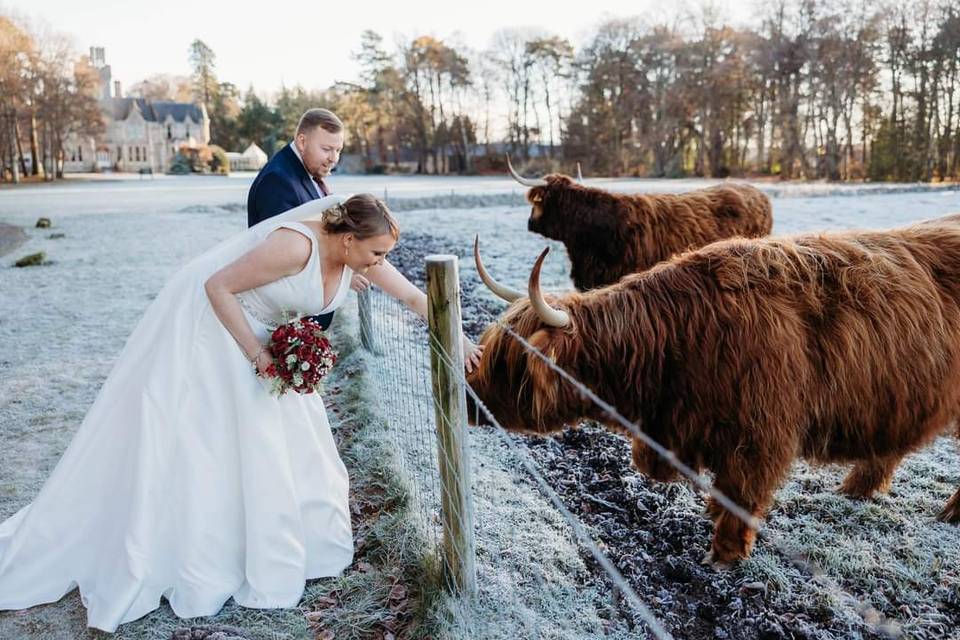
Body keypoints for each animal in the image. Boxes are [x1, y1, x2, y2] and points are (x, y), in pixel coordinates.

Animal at [468, 216, 960, 564]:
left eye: (506, 364)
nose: (468, 395)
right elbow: (721, 489)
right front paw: (710, 514)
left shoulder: (759, 435)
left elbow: (740, 494)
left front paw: (724, 554)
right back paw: (856, 489)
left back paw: (947, 512)